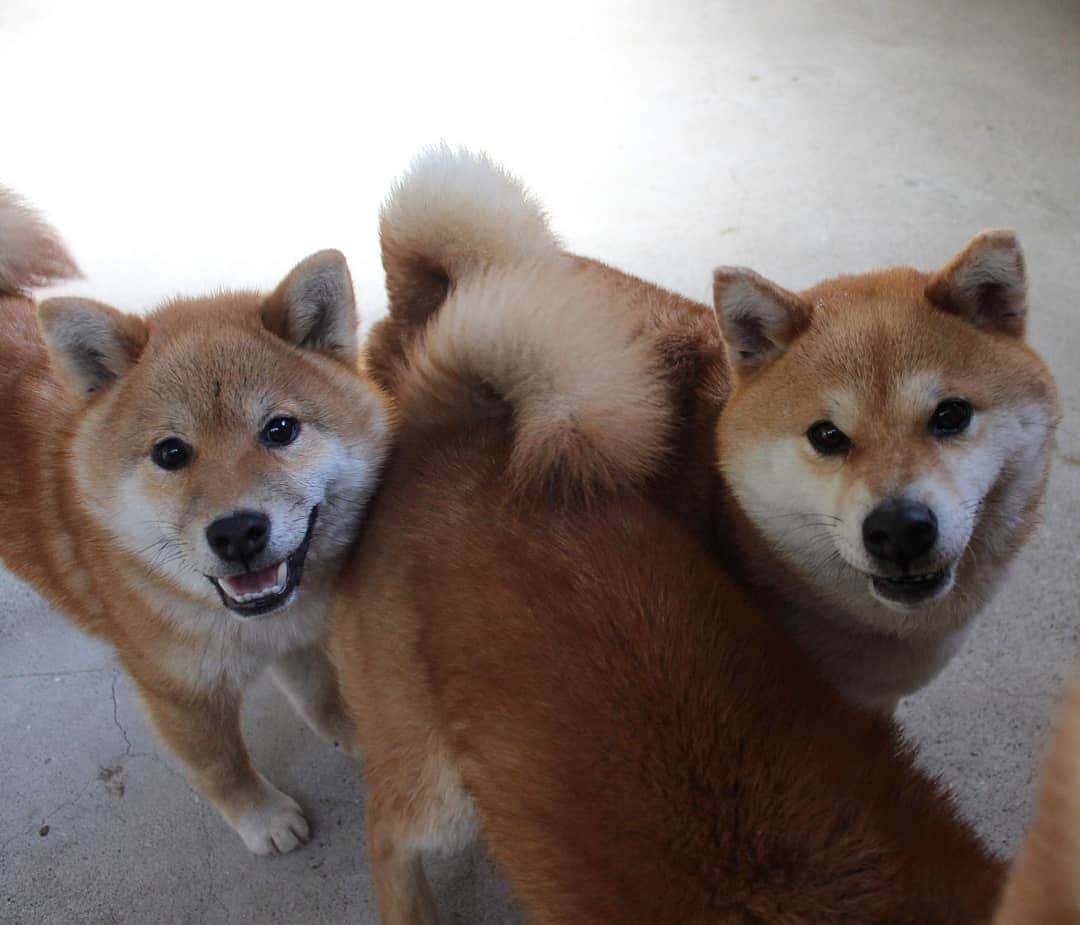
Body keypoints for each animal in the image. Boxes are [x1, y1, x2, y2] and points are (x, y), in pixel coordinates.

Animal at [0, 188, 388, 851]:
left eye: (279, 429)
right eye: (170, 453)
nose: (237, 532)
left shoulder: (296, 632)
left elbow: (319, 693)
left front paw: (351, 730)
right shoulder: (179, 693)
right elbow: (221, 767)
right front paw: (264, 819)